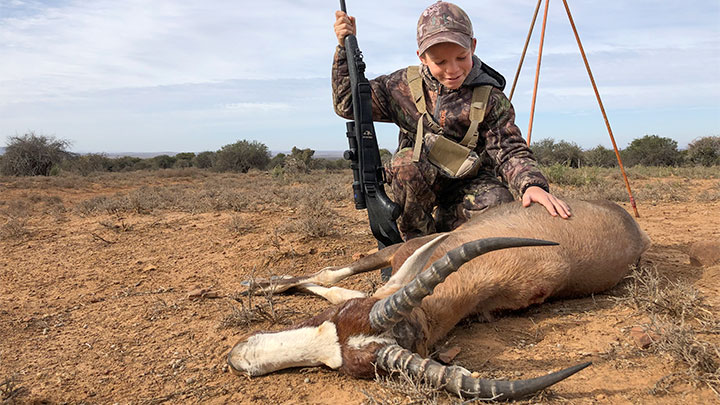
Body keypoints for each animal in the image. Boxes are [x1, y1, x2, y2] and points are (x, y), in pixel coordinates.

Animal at [228, 198, 648, 398]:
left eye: (349, 369)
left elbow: (333, 283)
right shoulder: (401, 254)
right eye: (333, 318)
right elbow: (331, 279)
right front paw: (255, 285)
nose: (239, 357)